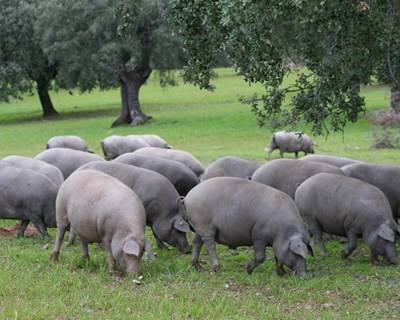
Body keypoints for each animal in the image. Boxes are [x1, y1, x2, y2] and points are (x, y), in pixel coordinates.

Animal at [184, 176, 312, 276]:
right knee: (210, 245)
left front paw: (282, 274)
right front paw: (247, 270)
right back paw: (217, 269)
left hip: (199, 228)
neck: (283, 231)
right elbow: (261, 257)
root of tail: (188, 196)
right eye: (296, 254)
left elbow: (277, 257)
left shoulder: (276, 244)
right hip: (205, 226)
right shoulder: (258, 236)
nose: (305, 275)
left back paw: (198, 267)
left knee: (197, 243)